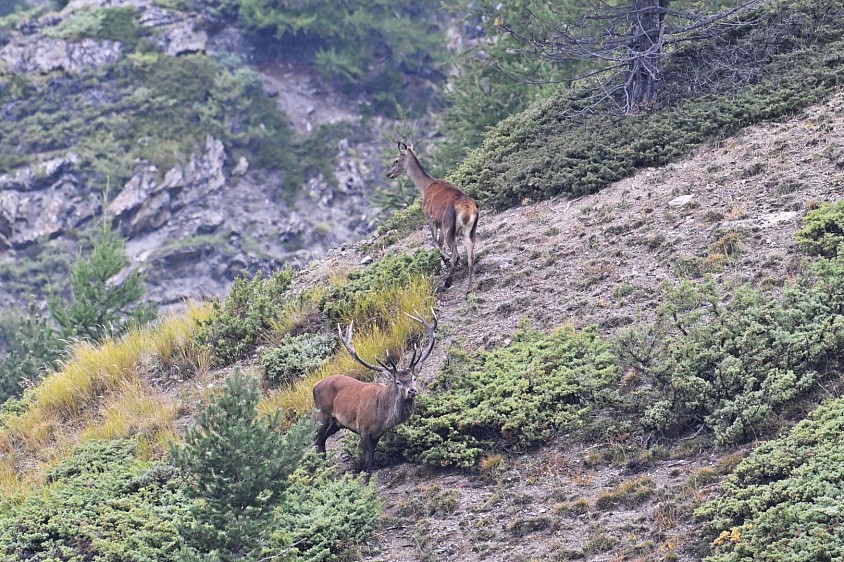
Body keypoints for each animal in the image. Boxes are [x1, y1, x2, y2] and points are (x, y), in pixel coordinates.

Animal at [312, 310, 437, 482]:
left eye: (413, 378)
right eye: (398, 382)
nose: (412, 391)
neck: (382, 417)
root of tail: (314, 386)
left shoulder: (378, 434)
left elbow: (372, 457)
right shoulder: (363, 429)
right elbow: (368, 460)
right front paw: (365, 482)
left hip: (336, 423)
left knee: (322, 441)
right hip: (322, 414)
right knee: (316, 440)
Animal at [386, 141, 479, 295]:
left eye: (396, 160)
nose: (388, 174)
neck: (425, 187)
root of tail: (467, 211)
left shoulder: (430, 218)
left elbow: (434, 243)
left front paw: (445, 262)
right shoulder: (440, 224)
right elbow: (438, 243)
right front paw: (442, 266)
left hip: (449, 228)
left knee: (456, 254)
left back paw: (448, 282)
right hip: (470, 231)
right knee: (471, 256)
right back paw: (469, 289)